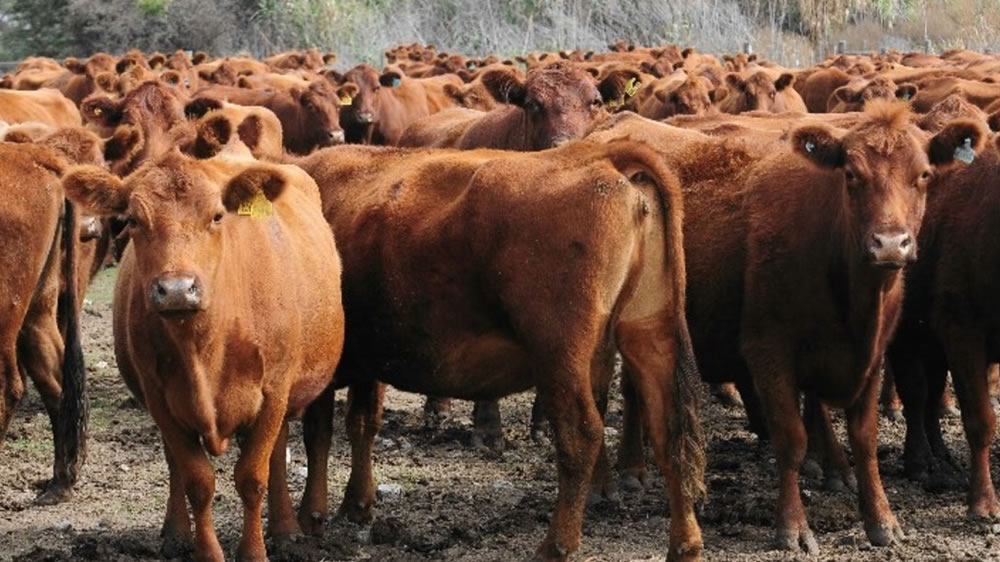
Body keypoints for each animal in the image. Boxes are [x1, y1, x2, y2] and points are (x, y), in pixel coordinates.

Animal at [62, 142, 346, 556]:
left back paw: (285, 528)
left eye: (216, 216)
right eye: (133, 220)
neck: (204, 345)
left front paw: (254, 552)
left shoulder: (274, 391)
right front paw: (207, 551)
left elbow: (252, 477)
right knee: (174, 465)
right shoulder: (159, 398)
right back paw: (176, 532)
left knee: (275, 455)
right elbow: (197, 479)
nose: (177, 289)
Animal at [588, 104, 988, 552]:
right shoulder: (769, 352)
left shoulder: (873, 355)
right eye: (851, 175)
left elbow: (864, 440)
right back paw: (611, 480)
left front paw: (882, 520)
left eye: (923, 175)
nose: (889, 243)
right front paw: (793, 527)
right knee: (600, 396)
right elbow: (791, 439)